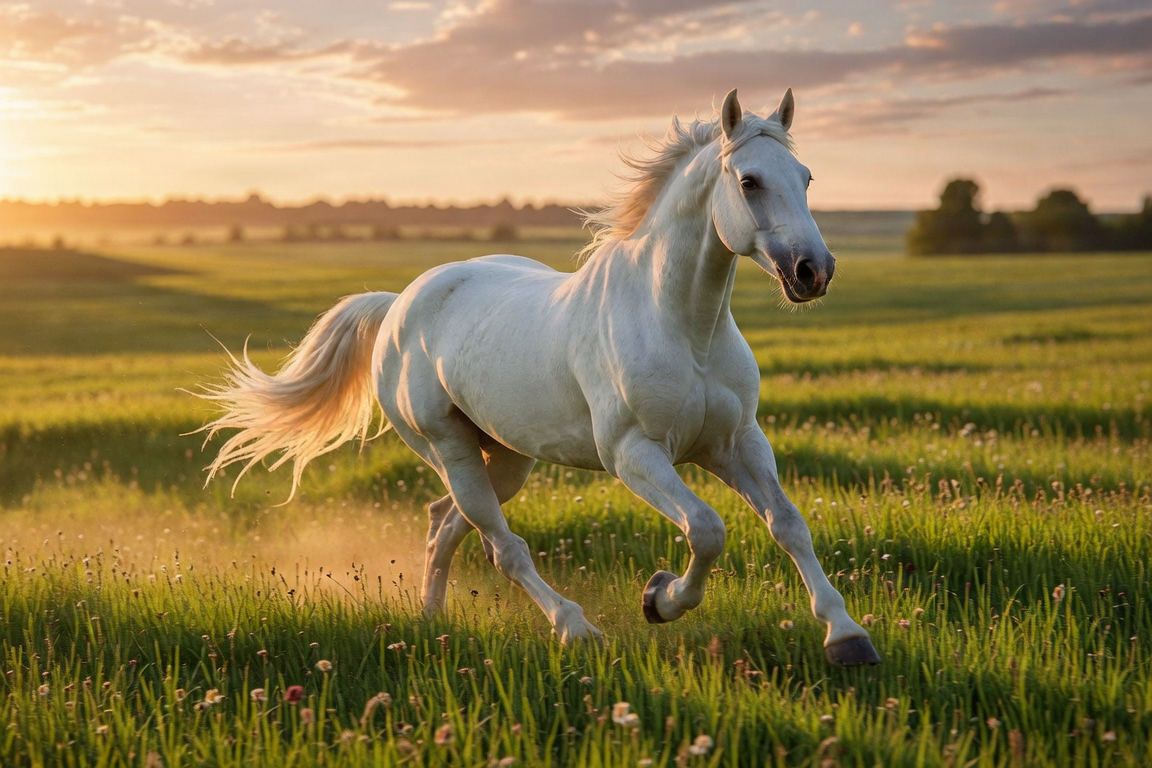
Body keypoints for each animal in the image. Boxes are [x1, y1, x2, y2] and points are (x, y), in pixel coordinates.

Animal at [198, 89, 881, 666]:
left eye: (806, 178)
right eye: (749, 180)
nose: (812, 270)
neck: (684, 327)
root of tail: (399, 305)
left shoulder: (737, 443)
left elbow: (788, 524)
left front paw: (846, 637)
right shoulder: (633, 454)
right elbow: (707, 531)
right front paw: (658, 599)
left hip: (506, 458)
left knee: (444, 524)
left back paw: (431, 620)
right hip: (449, 447)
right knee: (502, 547)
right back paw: (575, 628)